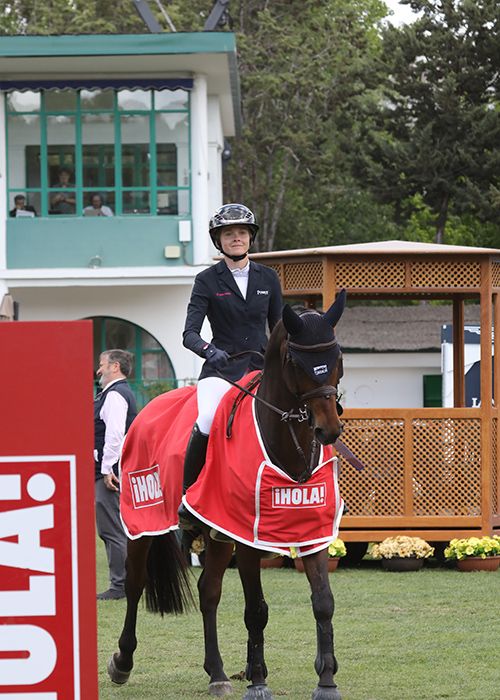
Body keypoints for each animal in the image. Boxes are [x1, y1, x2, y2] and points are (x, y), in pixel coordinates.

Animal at [107, 290, 346, 700]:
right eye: (296, 361)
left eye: (337, 358)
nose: (327, 430)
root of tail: (147, 409)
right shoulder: (247, 540)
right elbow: (256, 609)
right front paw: (259, 682)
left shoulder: (310, 530)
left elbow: (323, 602)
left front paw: (326, 680)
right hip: (143, 523)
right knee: (136, 582)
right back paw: (122, 662)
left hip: (218, 534)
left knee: (209, 591)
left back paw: (217, 672)